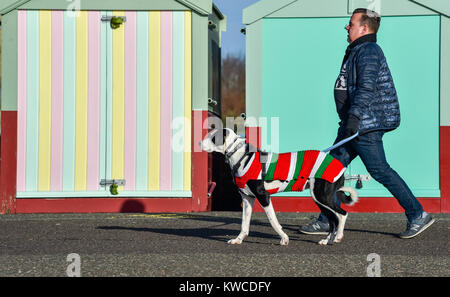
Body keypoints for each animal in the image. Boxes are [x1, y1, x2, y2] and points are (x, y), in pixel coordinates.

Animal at [200, 128, 358, 245]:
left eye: (212, 137)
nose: (199, 142)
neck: (241, 156)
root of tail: (340, 166)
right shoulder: (247, 199)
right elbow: (244, 224)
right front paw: (238, 240)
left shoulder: (264, 197)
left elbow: (273, 221)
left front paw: (284, 238)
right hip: (320, 199)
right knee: (335, 217)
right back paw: (331, 239)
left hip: (321, 197)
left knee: (340, 215)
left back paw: (335, 237)